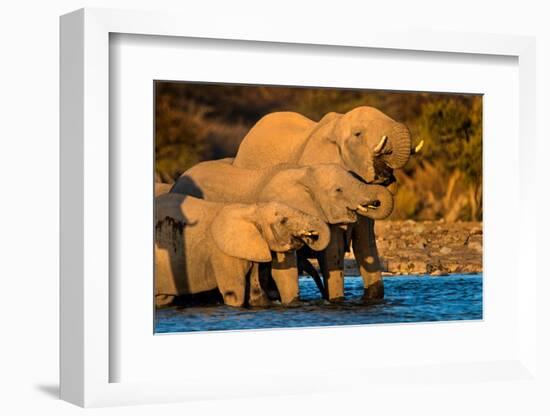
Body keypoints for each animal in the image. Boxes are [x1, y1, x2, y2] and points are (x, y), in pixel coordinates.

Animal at [154, 193, 332, 308]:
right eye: (283, 221)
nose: (311, 236)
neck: (253, 209)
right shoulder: (223, 253)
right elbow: (234, 293)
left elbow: (283, 280)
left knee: (163, 298)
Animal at [233, 105, 422, 300]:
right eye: (358, 134)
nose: (385, 176)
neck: (336, 127)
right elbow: (333, 249)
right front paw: (336, 299)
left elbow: (365, 244)